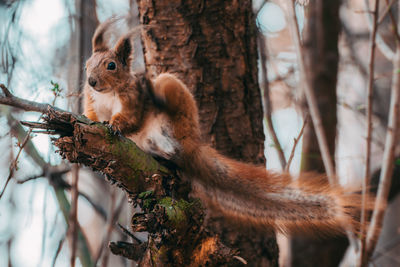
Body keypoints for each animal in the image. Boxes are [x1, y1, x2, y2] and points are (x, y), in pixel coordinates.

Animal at [83, 19, 368, 236]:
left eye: (111, 65)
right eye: (86, 64)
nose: (91, 81)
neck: (107, 95)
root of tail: (193, 145)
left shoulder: (133, 100)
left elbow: (130, 118)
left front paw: (115, 125)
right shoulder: (93, 102)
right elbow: (91, 114)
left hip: (175, 106)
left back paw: (155, 94)